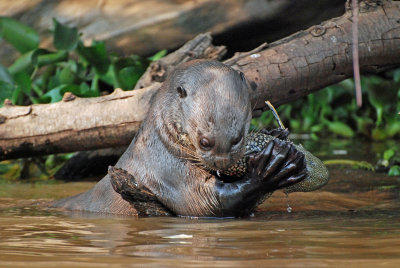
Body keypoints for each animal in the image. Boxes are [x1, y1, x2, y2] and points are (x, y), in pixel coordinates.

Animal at [53, 59, 310, 217]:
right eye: (204, 141)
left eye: (238, 138)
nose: (222, 162)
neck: (165, 145)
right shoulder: (169, 172)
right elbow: (207, 204)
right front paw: (270, 168)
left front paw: (275, 135)